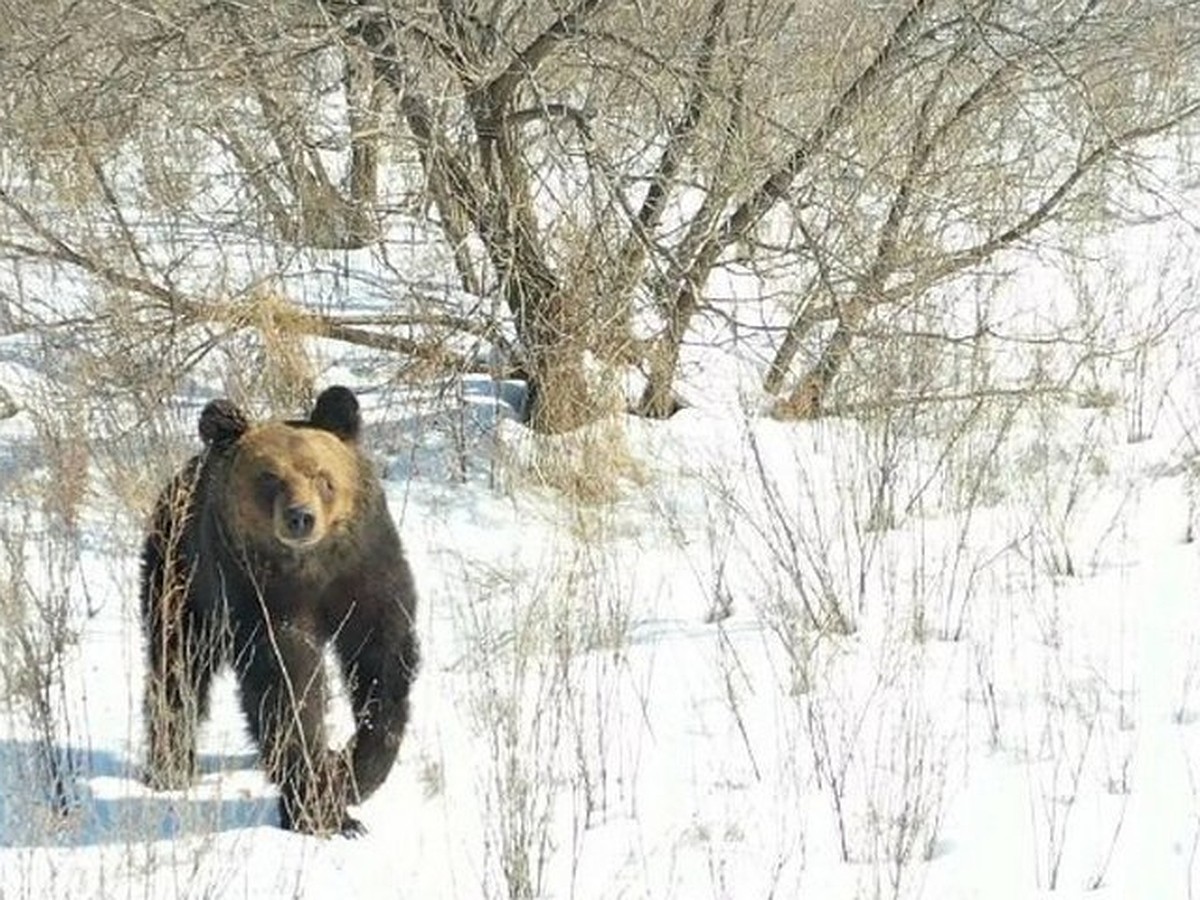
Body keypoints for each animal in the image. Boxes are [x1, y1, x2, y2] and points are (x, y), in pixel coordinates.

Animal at [139, 388, 420, 840]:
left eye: (321, 475)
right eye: (269, 478)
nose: (300, 517)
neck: (311, 571)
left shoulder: (366, 572)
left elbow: (384, 664)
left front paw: (355, 772)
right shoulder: (258, 594)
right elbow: (287, 685)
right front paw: (320, 805)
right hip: (180, 573)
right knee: (177, 665)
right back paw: (170, 766)